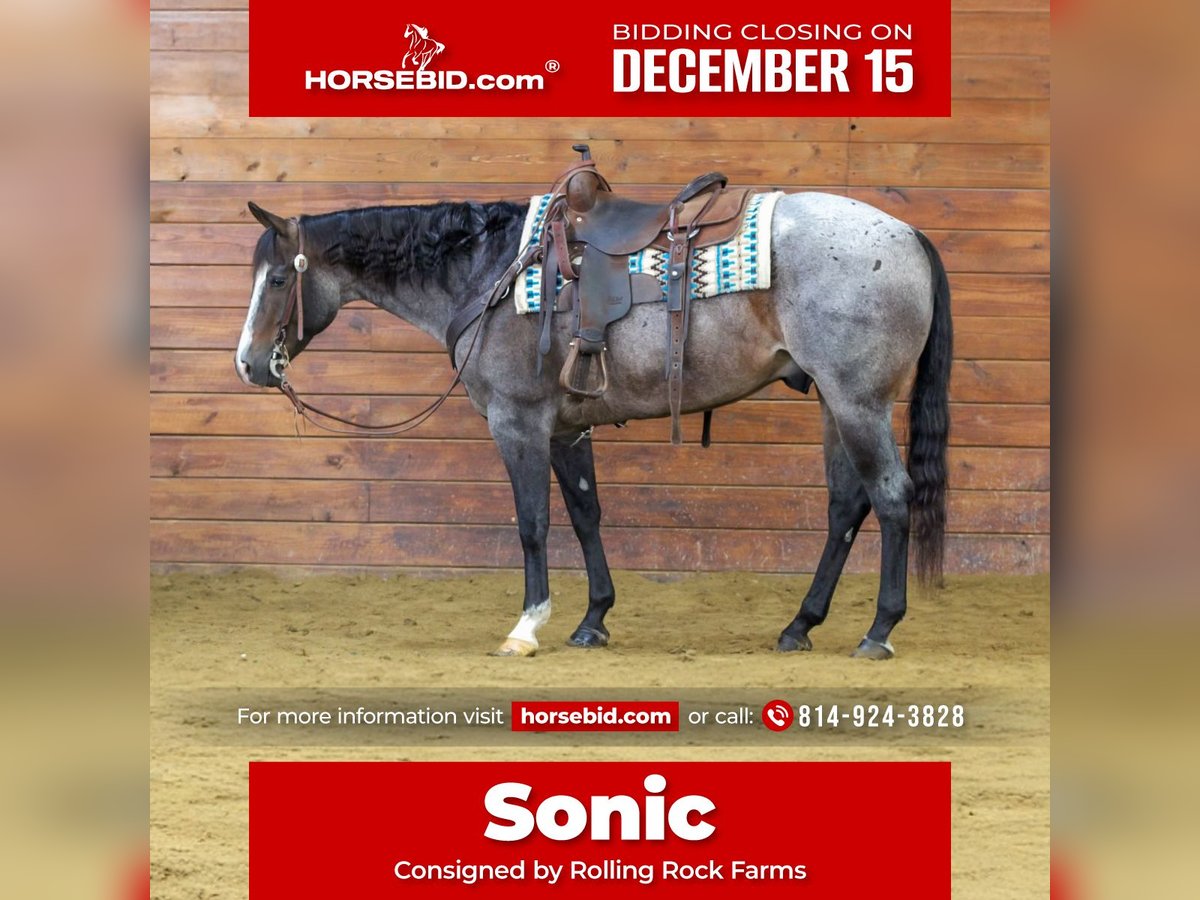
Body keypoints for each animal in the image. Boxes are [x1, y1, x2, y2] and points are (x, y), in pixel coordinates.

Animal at [234, 190, 952, 660]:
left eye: (278, 280)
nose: (247, 363)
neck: (490, 271)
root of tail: (907, 235)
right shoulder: (563, 430)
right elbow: (584, 515)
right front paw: (593, 619)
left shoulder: (518, 423)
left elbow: (532, 524)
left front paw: (527, 626)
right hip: (836, 403)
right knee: (845, 506)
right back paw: (799, 625)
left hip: (857, 402)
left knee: (890, 497)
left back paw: (878, 631)